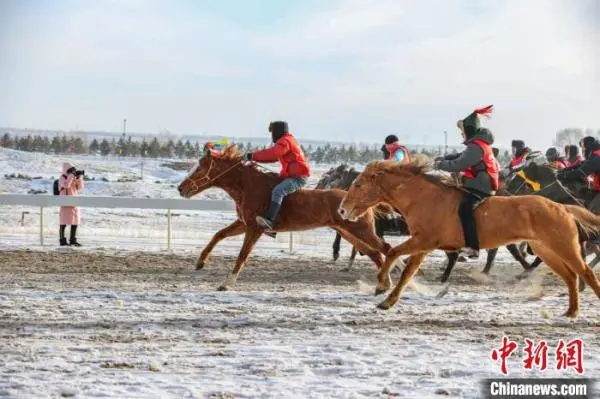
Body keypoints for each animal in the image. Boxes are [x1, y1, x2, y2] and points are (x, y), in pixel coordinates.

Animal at [178, 145, 392, 290]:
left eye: (200, 167)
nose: (181, 188)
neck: (248, 186)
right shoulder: (244, 223)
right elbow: (219, 235)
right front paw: (200, 262)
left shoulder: (255, 228)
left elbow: (243, 254)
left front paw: (227, 283)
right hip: (348, 232)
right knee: (374, 253)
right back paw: (384, 284)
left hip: (361, 231)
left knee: (385, 248)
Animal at [338, 158, 600, 318]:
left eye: (358, 183)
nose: (342, 210)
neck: (425, 198)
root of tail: (562, 207)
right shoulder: (422, 246)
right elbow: (406, 271)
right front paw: (387, 298)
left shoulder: (423, 241)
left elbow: (393, 252)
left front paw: (382, 286)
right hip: (546, 250)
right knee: (570, 277)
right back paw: (571, 312)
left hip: (564, 247)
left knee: (585, 272)